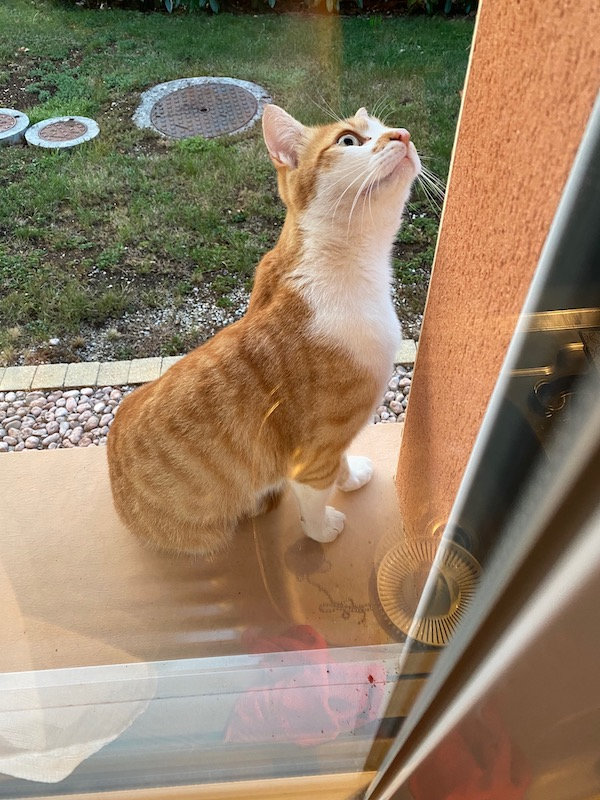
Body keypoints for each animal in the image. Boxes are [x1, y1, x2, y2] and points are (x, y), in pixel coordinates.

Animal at [107, 104, 421, 557]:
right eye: (349, 140)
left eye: (385, 127)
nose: (404, 134)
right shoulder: (314, 452)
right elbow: (316, 495)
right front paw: (323, 529)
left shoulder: (333, 442)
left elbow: (342, 461)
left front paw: (352, 477)